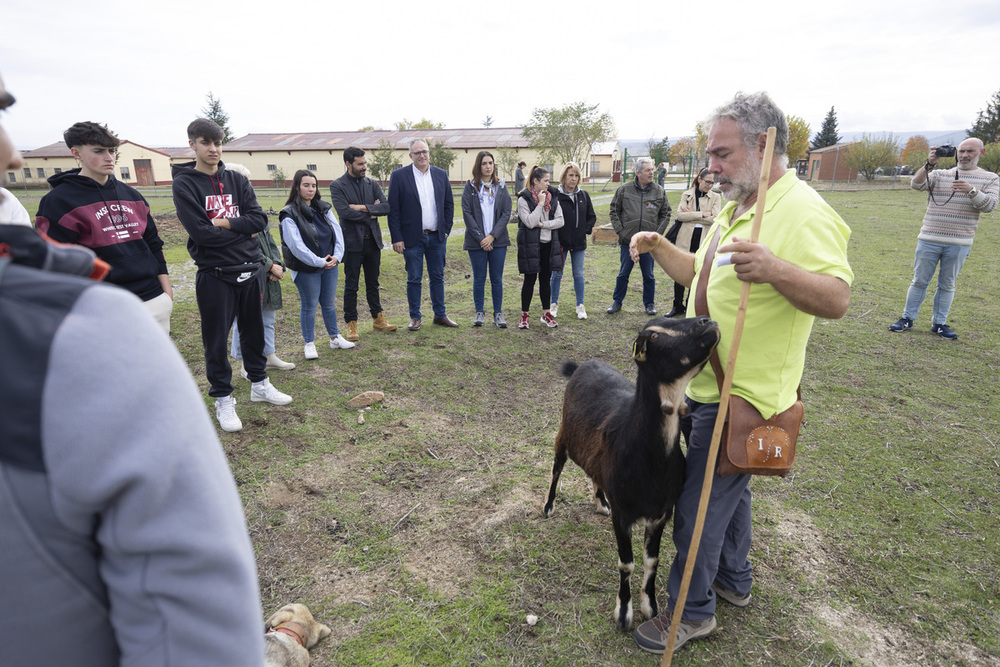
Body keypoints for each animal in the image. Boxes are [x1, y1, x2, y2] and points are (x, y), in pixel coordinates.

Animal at [540, 316, 720, 636]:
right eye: (655, 335)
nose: (707, 321)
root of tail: (581, 366)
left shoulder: (662, 512)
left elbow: (651, 559)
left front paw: (650, 605)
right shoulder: (623, 514)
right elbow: (627, 564)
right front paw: (623, 613)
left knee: (594, 474)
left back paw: (600, 502)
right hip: (563, 434)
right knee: (556, 468)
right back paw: (548, 506)